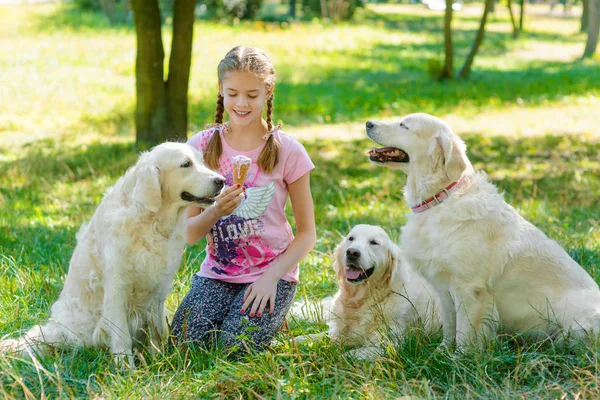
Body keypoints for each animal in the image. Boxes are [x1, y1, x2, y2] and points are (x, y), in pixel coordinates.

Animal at [0, 141, 225, 366]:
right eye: (186, 164)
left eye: (202, 161)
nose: (221, 180)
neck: (150, 221)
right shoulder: (118, 286)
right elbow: (121, 333)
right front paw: (127, 367)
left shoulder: (158, 288)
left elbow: (156, 330)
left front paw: (159, 360)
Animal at [296, 225, 440, 360]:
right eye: (351, 238)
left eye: (373, 242)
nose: (352, 252)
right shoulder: (337, 332)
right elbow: (320, 335)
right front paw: (298, 340)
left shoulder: (389, 343)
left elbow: (348, 355)